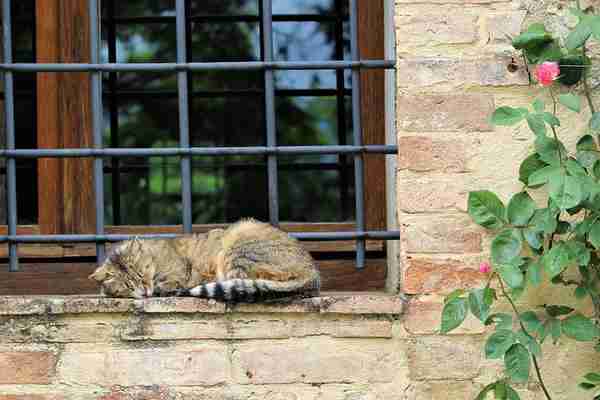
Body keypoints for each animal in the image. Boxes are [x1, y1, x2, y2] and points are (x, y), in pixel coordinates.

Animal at [88, 220, 318, 302]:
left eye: (141, 275)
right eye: (128, 285)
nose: (144, 291)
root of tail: (312, 273)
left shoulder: (179, 272)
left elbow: (170, 282)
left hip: (237, 247)